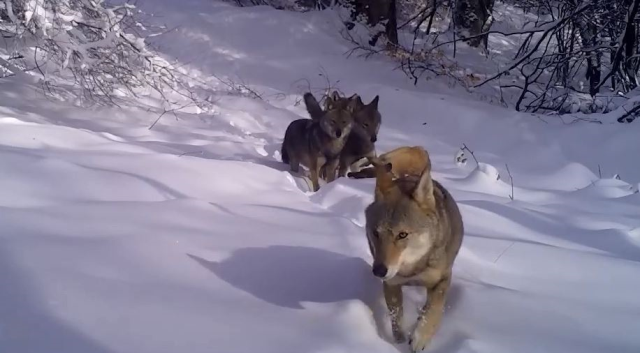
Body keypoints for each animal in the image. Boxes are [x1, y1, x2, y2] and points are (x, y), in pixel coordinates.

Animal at [362, 145, 462, 350]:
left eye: (402, 235)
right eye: (376, 233)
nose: (379, 271)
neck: (412, 271)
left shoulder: (442, 280)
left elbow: (433, 311)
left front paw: (419, 338)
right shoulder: (391, 284)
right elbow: (396, 318)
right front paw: (398, 341)